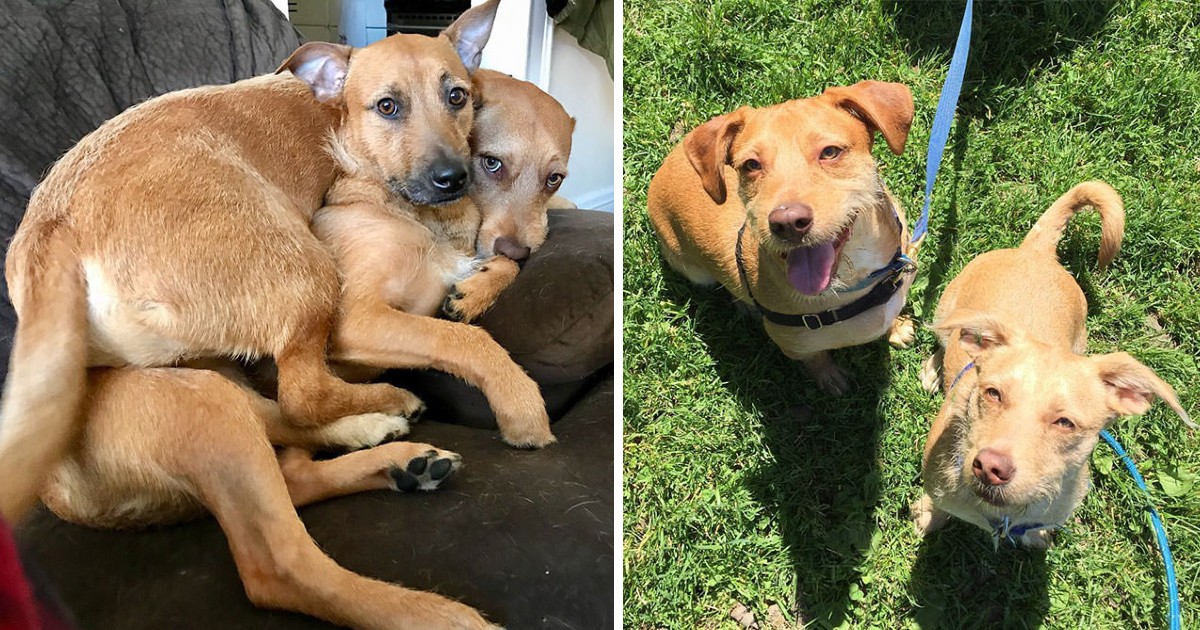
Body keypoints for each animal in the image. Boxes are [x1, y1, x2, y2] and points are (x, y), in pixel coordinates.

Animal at [0, 2, 580, 624]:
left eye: (457, 97)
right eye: (388, 107)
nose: (453, 178)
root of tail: (48, 228)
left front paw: (480, 286)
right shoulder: (358, 318)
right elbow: (463, 341)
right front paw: (520, 404)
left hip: (210, 381)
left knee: (291, 448)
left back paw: (386, 446)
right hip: (283, 296)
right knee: (283, 539)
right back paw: (430, 599)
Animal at [648, 80, 916, 391]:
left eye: (830, 152)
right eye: (751, 165)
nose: (787, 222)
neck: (856, 284)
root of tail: (667, 162)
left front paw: (897, 328)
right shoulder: (795, 347)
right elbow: (817, 361)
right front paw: (829, 380)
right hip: (694, 271)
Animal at [907, 180, 1190, 544]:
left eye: (1065, 423)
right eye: (992, 394)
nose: (991, 467)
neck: (1002, 515)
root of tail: (1037, 252)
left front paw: (1037, 535)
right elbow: (938, 502)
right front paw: (929, 514)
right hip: (948, 307)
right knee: (945, 336)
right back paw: (934, 369)